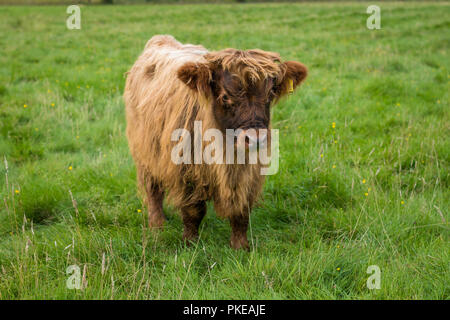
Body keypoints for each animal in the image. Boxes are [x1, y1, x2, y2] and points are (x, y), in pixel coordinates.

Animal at [123, 35, 308, 250]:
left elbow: (241, 212)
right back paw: (157, 224)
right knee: (153, 189)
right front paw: (190, 243)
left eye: (270, 94)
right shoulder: (186, 170)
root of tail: (161, 39)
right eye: (225, 97)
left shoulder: (249, 172)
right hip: (145, 151)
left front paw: (240, 246)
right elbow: (193, 211)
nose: (255, 138)